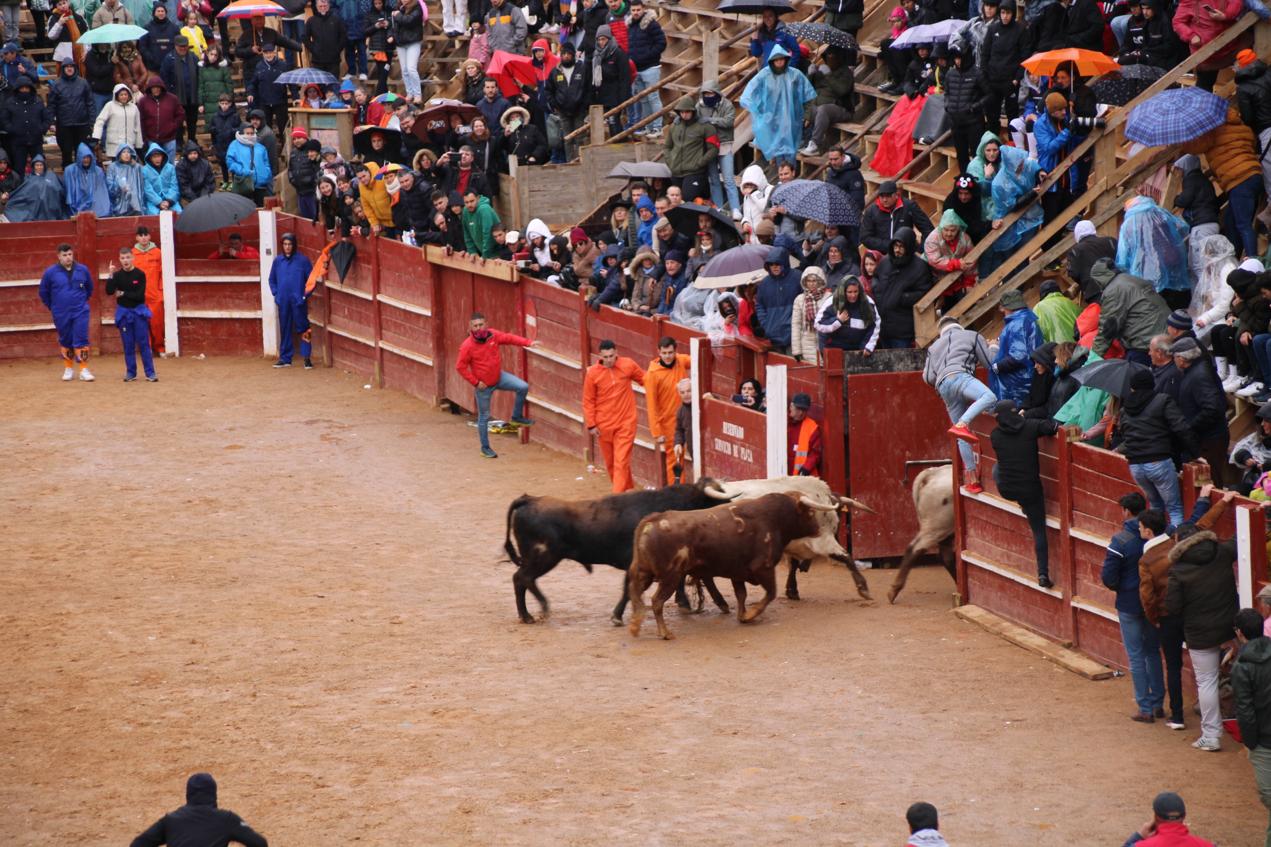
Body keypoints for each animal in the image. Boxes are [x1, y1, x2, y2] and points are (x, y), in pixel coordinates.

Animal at [625, 490, 833, 635]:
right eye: (810, 512)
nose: (818, 529)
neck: (775, 518)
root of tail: (653, 520)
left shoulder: (737, 572)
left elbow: (741, 595)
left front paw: (743, 616)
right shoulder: (763, 568)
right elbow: (770, 594)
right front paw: (751, 614)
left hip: (645, 572)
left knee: (635, 591)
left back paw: (635, 625)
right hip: (671, 576)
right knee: (656, 601)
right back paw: (665, 633)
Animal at [706, 475, 874, 600]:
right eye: (838, 514)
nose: (837, 529)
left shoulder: (794, 544)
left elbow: (793, 565)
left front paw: (792, 590)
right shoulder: (822, 541)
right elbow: (846, 556)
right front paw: (863, 588)